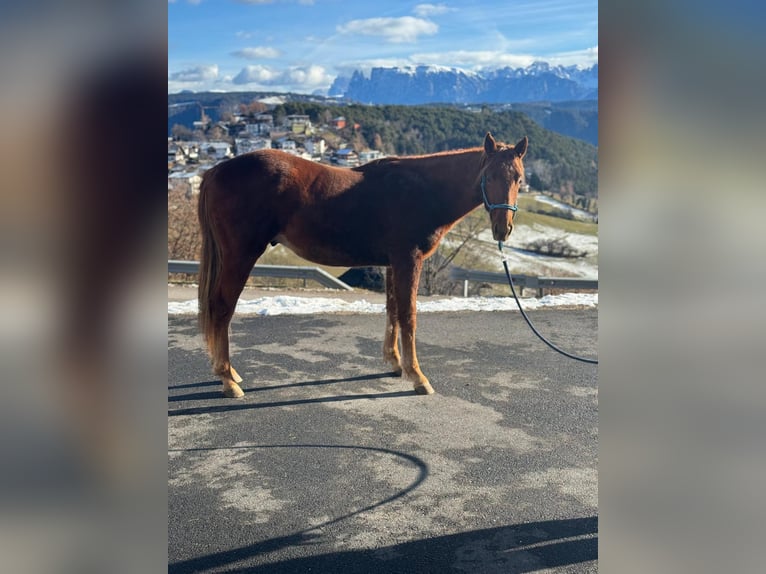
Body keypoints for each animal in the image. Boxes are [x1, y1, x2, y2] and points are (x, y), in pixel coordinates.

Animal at [198, 133, 528, 398]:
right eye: (488, 176)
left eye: (519, 179)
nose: (503, 229)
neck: (422, 190)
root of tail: (215, 170)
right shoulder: (409, 259)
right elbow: (409, 316)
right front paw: (418, 377)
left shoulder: (393, 263)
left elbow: (393, 310)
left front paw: (395, 363)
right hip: (241, 255)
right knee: (222, 307)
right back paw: (228, 379)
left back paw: (227, 372)